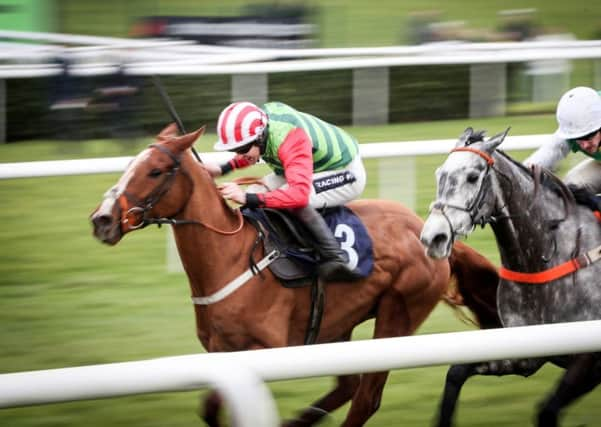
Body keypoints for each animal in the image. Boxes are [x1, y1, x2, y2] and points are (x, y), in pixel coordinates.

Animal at [89, 122, 500, 426]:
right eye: (129, 165)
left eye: (155, 171)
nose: (102, 220)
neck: (230, 257)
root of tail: (431, 236)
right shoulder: (221, 353)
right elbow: (209, 409)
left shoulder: (267, 349)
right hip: (338, 321)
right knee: (349, 386)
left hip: (397, 315)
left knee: (366, 398)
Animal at [420, 129, 600, 427]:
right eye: (439, 174)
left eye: (473, 177)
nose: (432, 238)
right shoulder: (524, 351)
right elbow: (456, 372)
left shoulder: (588, 358)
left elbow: (547, 410)